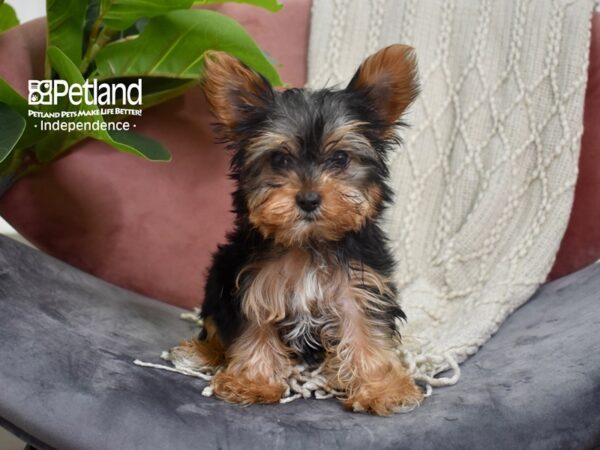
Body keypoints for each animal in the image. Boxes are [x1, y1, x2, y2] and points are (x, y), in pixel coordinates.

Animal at [178, 44, 422, 414]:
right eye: (279, 160)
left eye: (340, 159)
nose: (308, 199)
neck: (309, 243)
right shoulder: (254, 283)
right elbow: (255, 328)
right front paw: (251, 382)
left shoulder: (360, 287)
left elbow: (366, 331)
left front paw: (381, 388)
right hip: (219, 273)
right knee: (213, 324)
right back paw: (202, 352)